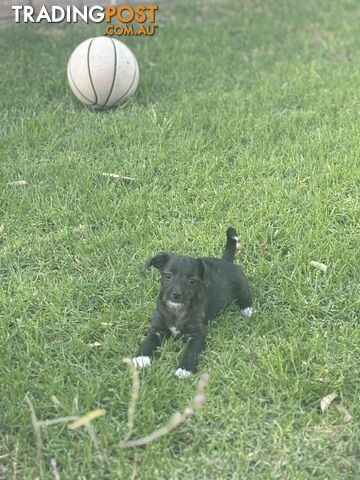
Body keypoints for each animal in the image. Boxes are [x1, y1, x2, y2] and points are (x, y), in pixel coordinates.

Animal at [133, 229, 253, 378]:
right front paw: (142, 358)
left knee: (246, 297)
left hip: (242, 288)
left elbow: (191, 352)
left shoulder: (197, 335)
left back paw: (247, 310)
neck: (177, 309)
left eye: (192, 281)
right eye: (168, 275)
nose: (176, 294)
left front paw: (184, 369)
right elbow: (149, 341)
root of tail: (227, 261)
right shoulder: (157, 329)